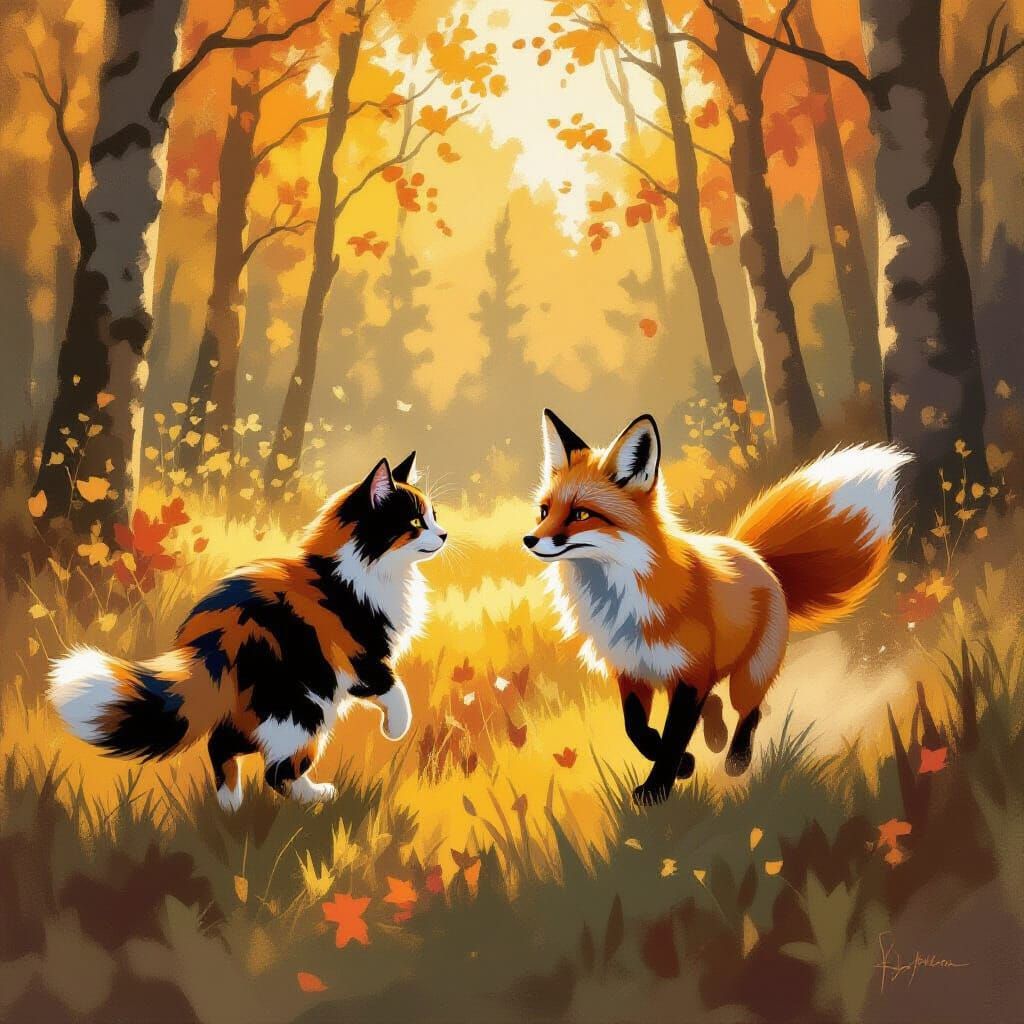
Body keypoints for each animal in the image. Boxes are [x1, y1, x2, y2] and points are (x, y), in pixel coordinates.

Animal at [48, 452, 447, 810]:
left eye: (434, 516)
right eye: (416, 520)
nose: (443, 534)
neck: (360, 570)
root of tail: (209, 643)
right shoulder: (361, 656)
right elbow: (394, 689)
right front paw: (397, 728)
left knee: (223, 744)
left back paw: (231, 805)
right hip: (302, 711)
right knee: (273, 770)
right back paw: (313, 797)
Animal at [524, 409, 911, 806]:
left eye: (581, 515)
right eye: (544, 510)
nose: (529, 540)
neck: (622, 596)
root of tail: (754, 554)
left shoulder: (689, 673)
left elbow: (672, 738)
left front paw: (658, 786)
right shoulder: (632, 669)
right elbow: (637, 730)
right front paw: (682, 766)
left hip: (749, 674)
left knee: (750, 711)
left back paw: (737, 756)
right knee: (714, 703)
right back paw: (715, 734)